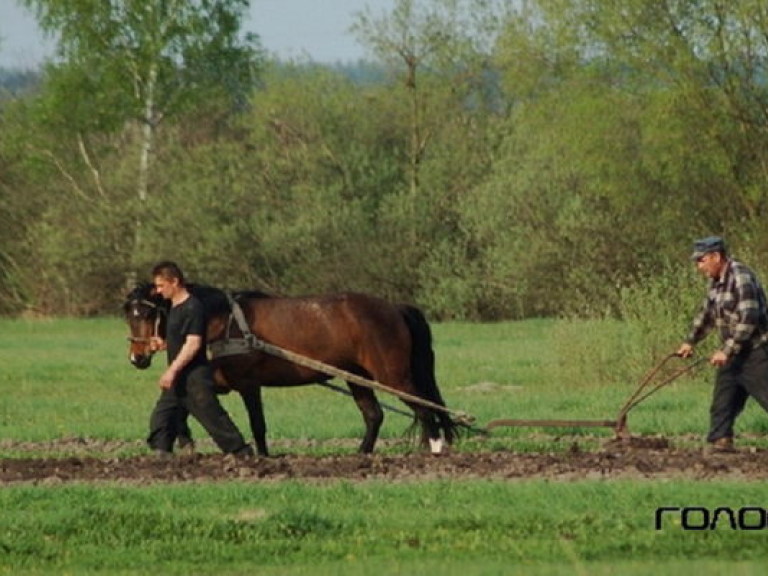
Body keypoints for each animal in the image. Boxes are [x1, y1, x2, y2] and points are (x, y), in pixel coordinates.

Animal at [121, 282, 456, 454]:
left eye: (147, 313)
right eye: (128, 313)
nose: (137, 358)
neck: (222, 321)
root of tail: (394, 308)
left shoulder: (247, 383)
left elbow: (257, 424)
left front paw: (262, 457)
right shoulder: (216, 379)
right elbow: (182, 405)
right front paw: (183, 441)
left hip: (392, 376)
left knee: (423, 408)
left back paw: (435, 450)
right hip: (358, 378)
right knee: (375, 416)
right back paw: (361, 455)